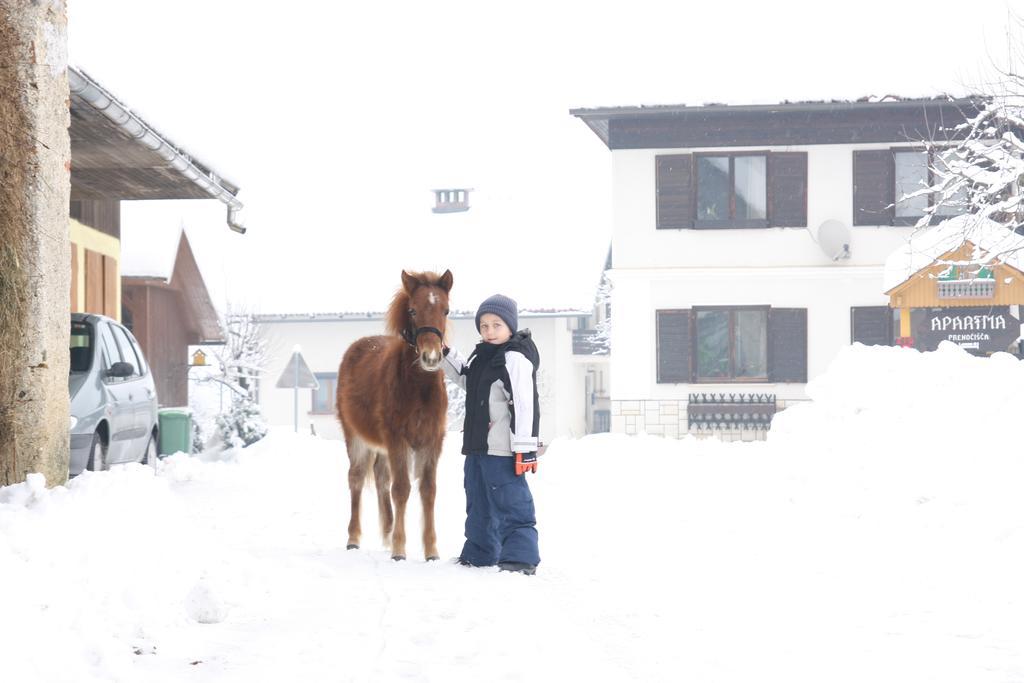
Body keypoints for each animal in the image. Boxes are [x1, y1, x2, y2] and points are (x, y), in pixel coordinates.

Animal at [335, 268, 452, 561]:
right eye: (412, 310)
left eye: (445, 310)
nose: (431, 357)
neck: (419, 387)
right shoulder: (398, 439)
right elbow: (402, 489)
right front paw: (400, 549)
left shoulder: (432, 441)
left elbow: (428, 490)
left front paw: (431, 551)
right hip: (356, 438)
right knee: (356, 478)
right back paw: (354, 539)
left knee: (381, 478)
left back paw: (387, 534)